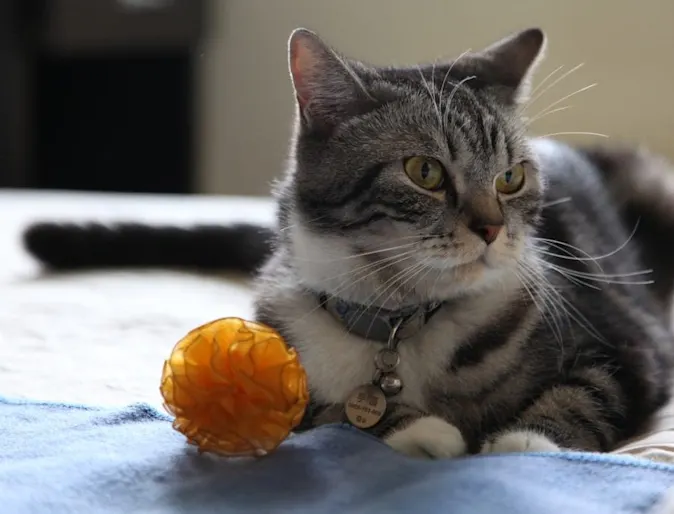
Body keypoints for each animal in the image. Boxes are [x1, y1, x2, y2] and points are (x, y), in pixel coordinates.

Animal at [22, 26, 674, 454]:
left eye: (511, 178)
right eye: (424, 172)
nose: (491, 228)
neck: (401, 319)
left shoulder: (627, 341)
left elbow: (583, 395)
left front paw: (523, 445)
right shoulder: (288, 349)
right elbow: (331, 408)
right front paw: (420, 431)